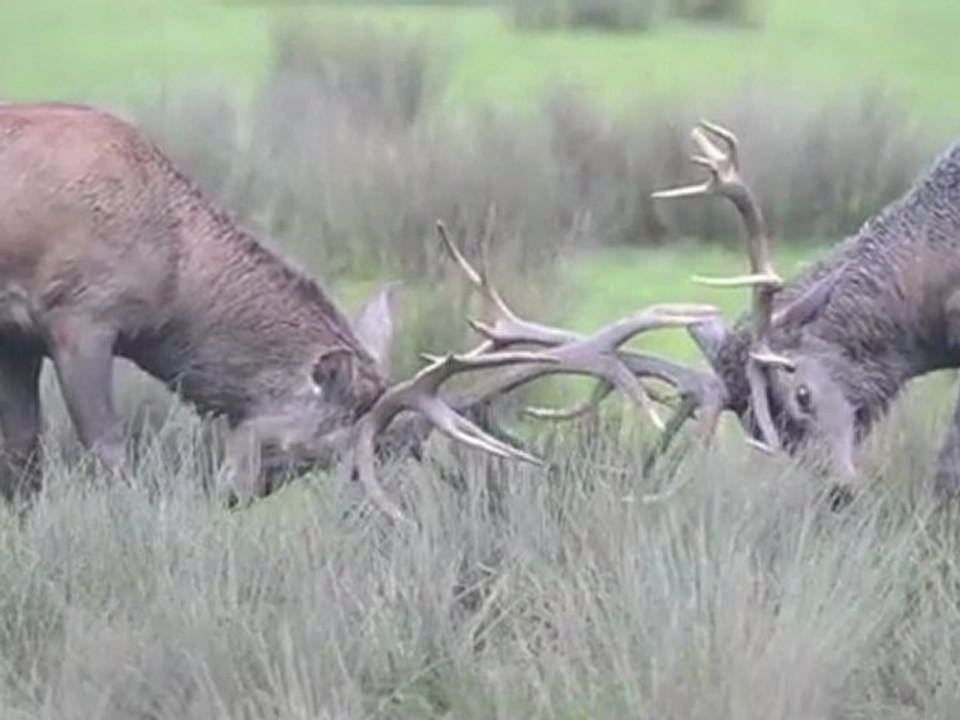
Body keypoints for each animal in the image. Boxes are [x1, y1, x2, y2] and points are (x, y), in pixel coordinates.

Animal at [0, 100, 733, 524]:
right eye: (303, 448)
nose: (229, 500)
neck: (171, 271)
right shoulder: (79, 314)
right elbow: (106, 449)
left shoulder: (20, 336)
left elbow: (22, 455)